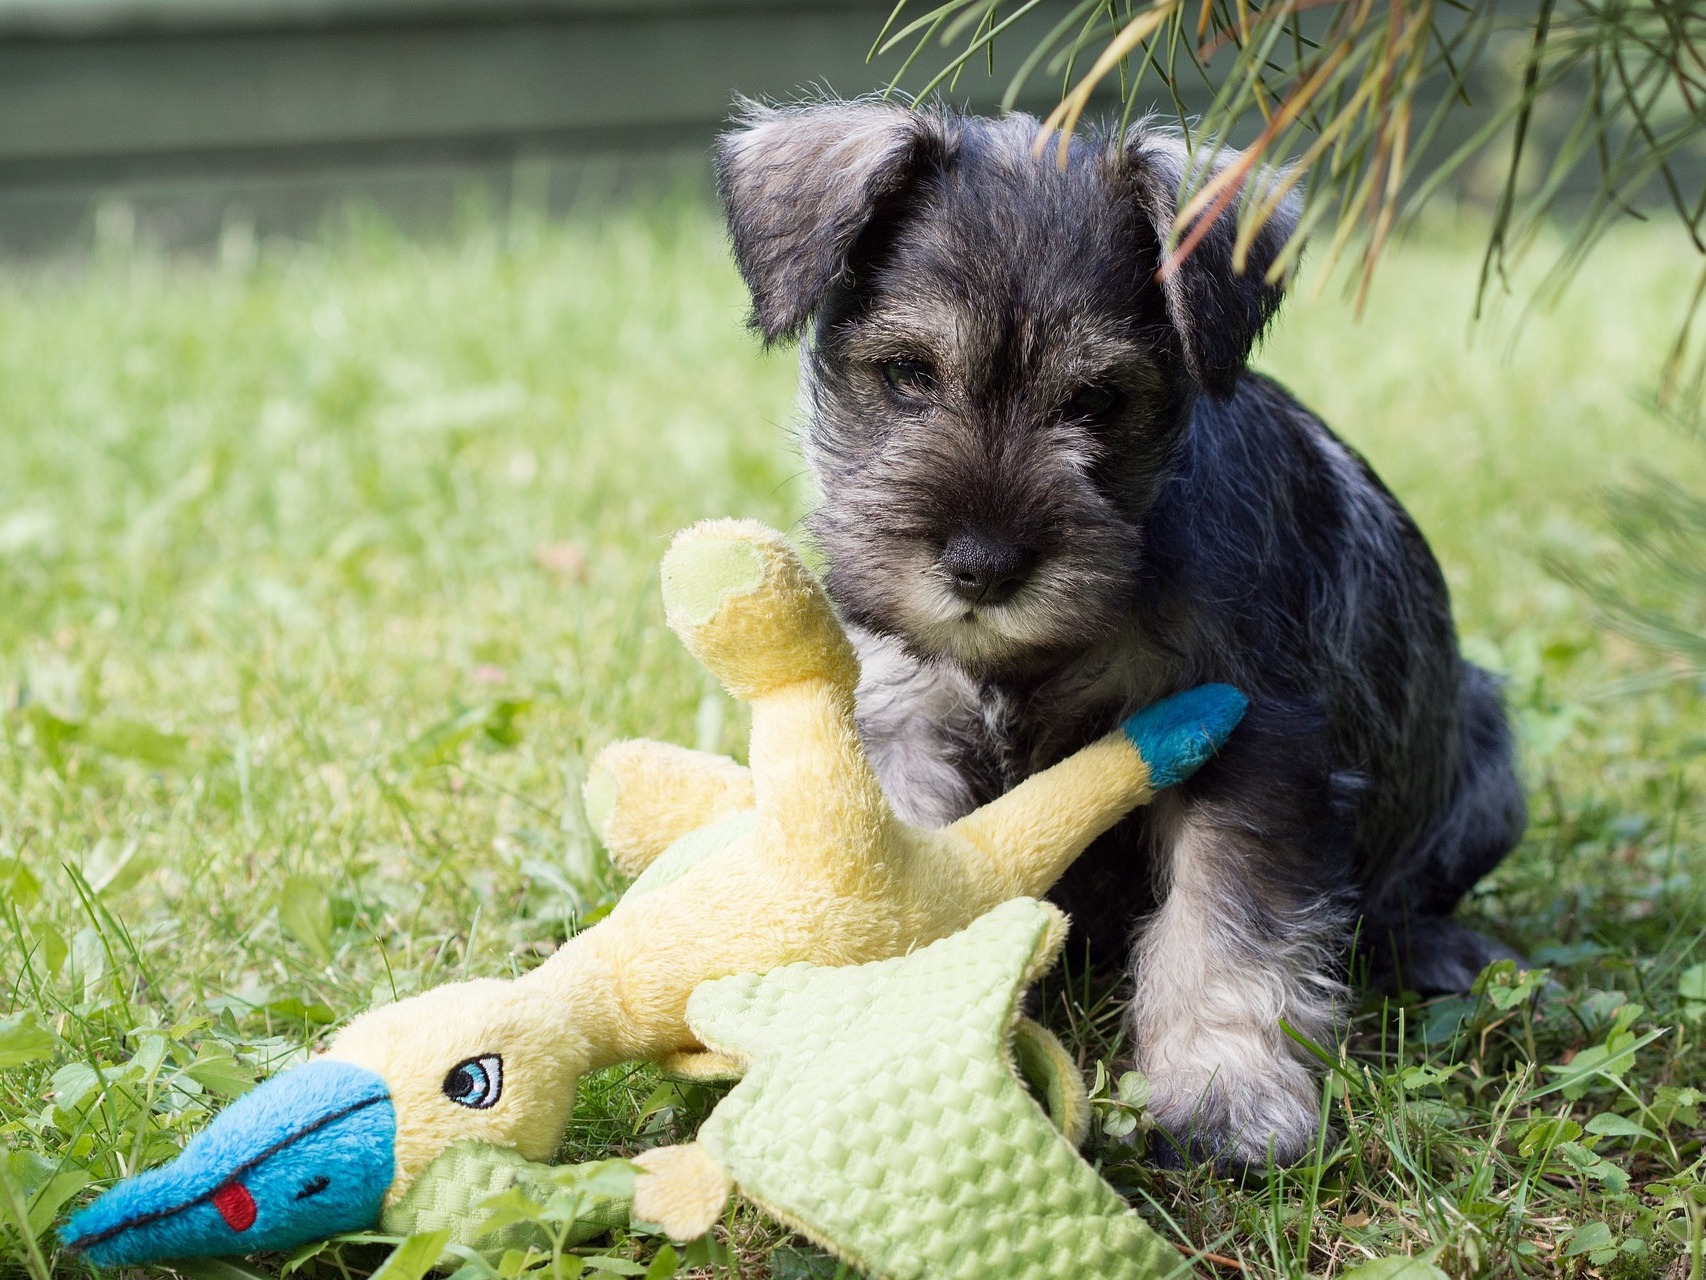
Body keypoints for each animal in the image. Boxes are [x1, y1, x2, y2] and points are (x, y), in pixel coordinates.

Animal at [713, 102, 1528, 1174]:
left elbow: (1226, 924)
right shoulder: (905, 727)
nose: (981, 566)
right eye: (906, 373)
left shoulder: (1248, 740)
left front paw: (1225, 1094)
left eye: (1098, 399)